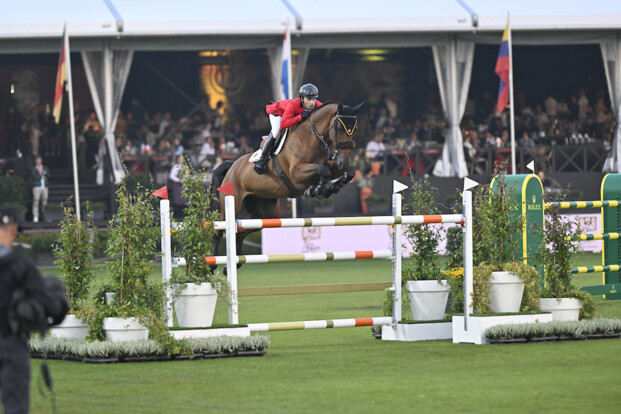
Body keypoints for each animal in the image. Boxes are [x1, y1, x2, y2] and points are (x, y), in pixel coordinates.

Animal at [209, 101, 364, 272]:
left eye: (355, 128)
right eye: (339, 128)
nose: (344, 160)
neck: (311, 138)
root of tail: (233, 165)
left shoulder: (332, 166)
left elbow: (347, 172)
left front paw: (329, 188)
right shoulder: (296, 174)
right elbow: (324, 171)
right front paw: (317, 189)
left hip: (267, 214)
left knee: (240, 233)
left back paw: (233, 265)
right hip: (232, 204)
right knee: (219, 230)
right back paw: (213, 264)